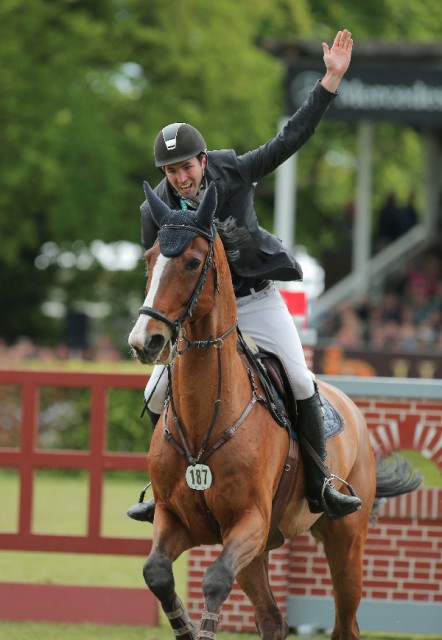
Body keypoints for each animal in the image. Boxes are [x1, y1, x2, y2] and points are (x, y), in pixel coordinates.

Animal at [127, 181, 422, 640]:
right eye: (149, 259)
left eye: (192, 262)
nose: (145, 342)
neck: (206, 421)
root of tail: (352, 408)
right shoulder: (176, 519)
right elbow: (156, 572)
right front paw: (186, 628)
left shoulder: (250, 521)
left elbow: (215, 579)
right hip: (263, 549)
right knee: (272, 620)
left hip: (344, 541)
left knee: (345, 623)